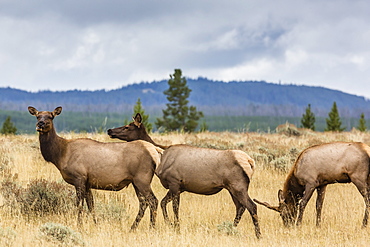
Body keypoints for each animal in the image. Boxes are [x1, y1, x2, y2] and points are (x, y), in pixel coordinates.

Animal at [28, 106, 161, 230]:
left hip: (142, 179)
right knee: (143, 203)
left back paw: (152, 227)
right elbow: (91, 206)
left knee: (153, 200)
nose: (40, 124)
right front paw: (96, 224)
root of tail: (154, 150)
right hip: (135, 181)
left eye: (51, 116)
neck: (60, 155)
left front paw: (79, 225)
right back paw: (133, 228)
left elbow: (79, 205)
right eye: (37, 116)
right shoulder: (87, 183)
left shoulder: (79, 177)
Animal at [107, 113, 262, 238]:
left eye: (128, 127)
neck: (161, 159)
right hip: (231, 187)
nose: (110, 130)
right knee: (240, 207)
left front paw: (176, 227)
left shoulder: (175, 182)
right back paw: (229, 230)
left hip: (238, 185)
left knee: (252, 206)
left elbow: (175, 207)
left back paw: (258, 235)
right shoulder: (179, 187)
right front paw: (170, 224)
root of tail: (250, 162)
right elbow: (163, 203)